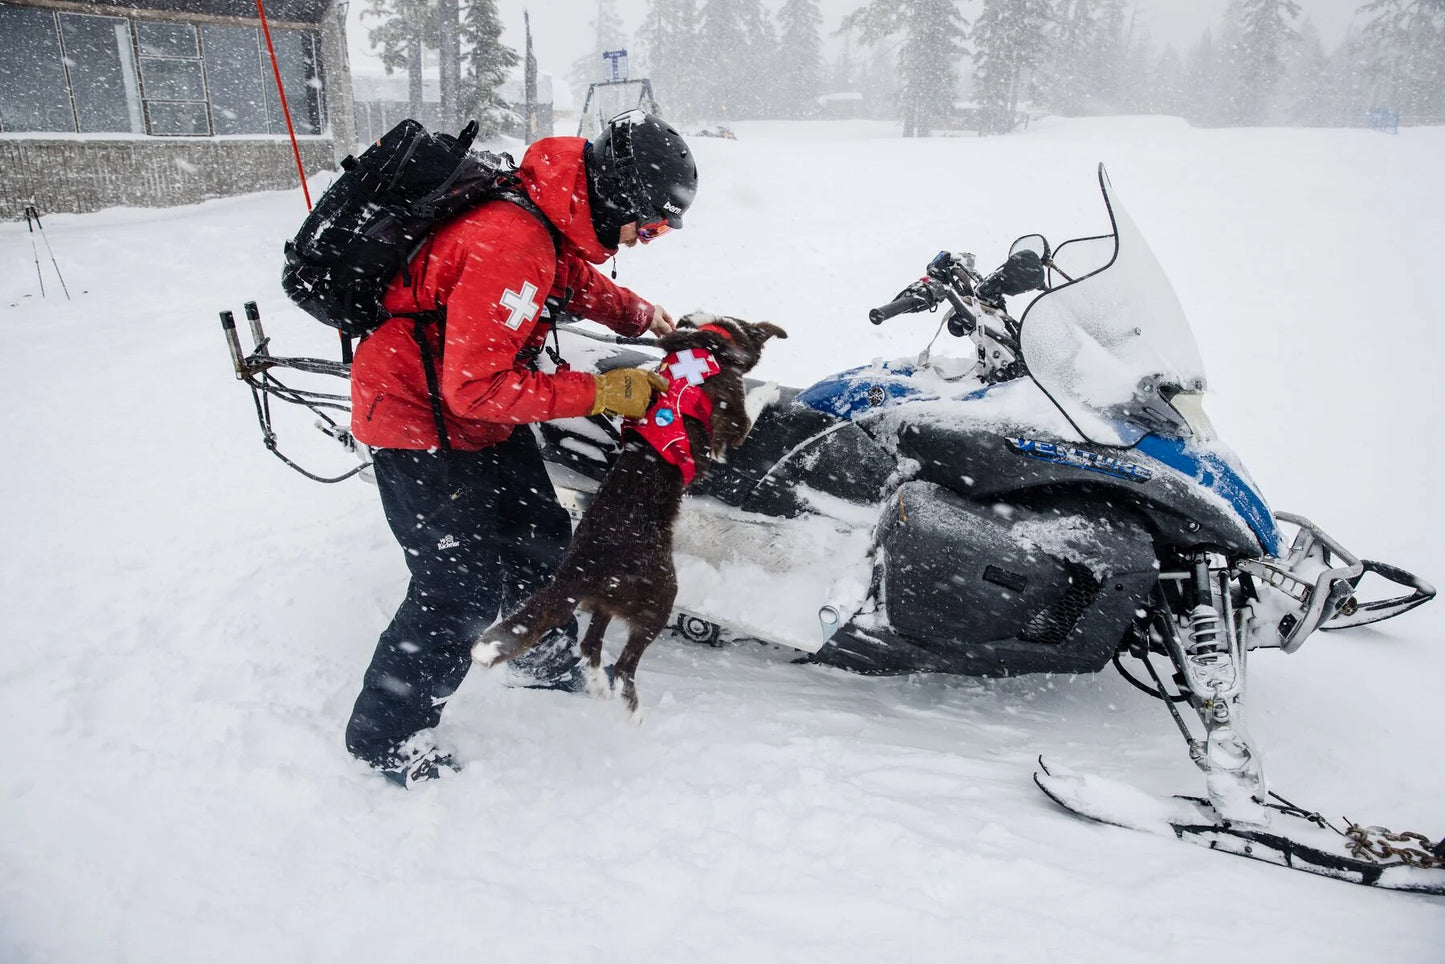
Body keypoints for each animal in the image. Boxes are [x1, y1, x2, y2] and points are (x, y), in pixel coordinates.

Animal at [471, 315, 791, 716]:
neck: (710, 343)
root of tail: (579, 570)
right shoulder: (732, 424)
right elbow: (751, 408)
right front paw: (773, 387)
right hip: (659, 598)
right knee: (625, 662)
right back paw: (631, 707)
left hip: (608, 601)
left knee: (590, 645)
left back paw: (598, 686)